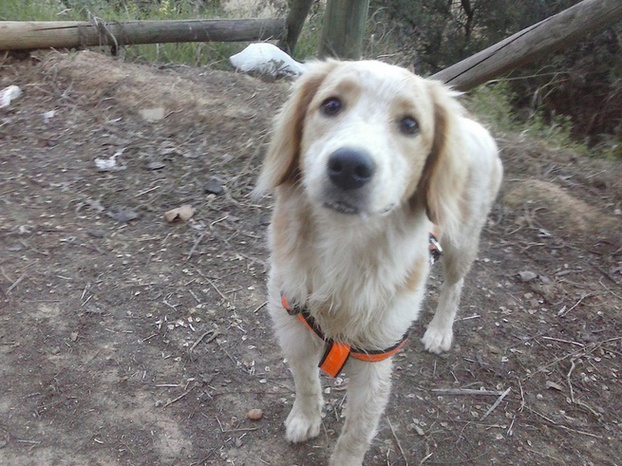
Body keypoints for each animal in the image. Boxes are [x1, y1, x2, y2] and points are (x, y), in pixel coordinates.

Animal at [256, 60, 504, 464]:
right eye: (331, 105)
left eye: (410, 124)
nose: (348, 165)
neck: (344, 249)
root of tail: (474, 125)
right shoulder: (292, 327)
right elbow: (306, 382)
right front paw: (305, 418)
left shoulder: (375, 358)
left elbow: (357, 431)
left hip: (461, 239)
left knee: (454, 286)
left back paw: (440, 331)